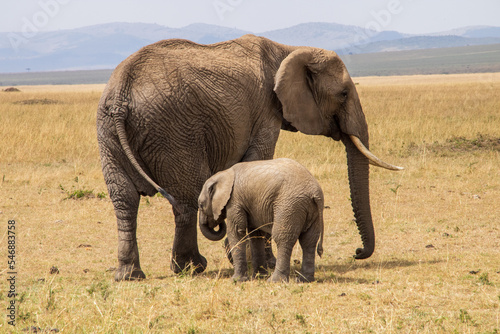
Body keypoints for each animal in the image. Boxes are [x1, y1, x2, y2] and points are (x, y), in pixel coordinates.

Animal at [97, 34, 402, 280]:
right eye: (343, 94)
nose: (358, 251)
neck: (289, 50)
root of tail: (122, 94)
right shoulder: (266, 112)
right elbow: (258, 159)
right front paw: (264, 264)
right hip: (172, 132)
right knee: (185, 199)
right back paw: (192, 268)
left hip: (109, 132)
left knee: (124, 199)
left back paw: (129, 275)